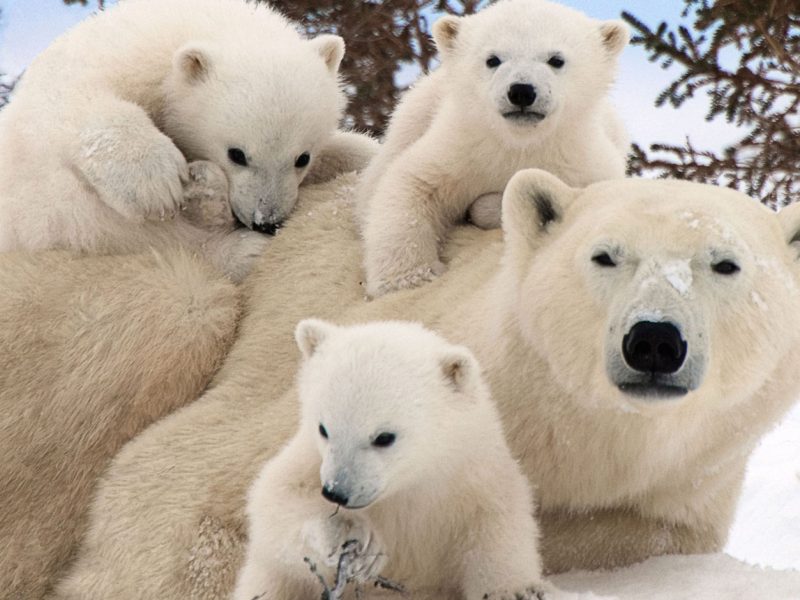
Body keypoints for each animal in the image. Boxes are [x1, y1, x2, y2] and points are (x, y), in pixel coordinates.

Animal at [0, 0, 376, 276]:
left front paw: (360, 151)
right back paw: (238, 245)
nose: (266, 221)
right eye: (237, 154)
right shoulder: (108, 62)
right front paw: (154, 182)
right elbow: (73, 97)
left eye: (302, 158)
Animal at [231, 322, 544, 596]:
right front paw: (354, 537)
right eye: (323, 428)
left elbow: (499, 527)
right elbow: (273, 502)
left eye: (384, 437)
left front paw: (515, 591)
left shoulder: (473, 479)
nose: (336, 492)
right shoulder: (306, 459)